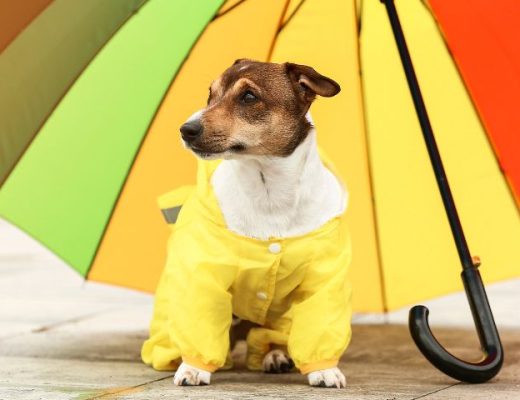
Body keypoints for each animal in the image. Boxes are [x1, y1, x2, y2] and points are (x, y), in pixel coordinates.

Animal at [142, 59, 354, 388]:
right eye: (210, 94)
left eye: (249, 97)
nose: (186, 129)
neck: (268, 192)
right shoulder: (205, 275)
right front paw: (193, 368)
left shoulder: (324, 279)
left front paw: (325, 370)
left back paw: (276, 355)